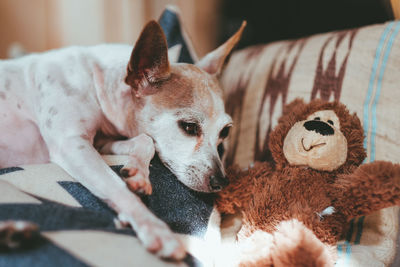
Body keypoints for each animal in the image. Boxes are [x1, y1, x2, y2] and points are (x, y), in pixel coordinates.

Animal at [0, 21, 245, 260]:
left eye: (225, 132)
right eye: (189, 127)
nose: (221, 182)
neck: (95, 81)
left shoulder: (101, 142)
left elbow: (146, 141)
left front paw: (138, 173)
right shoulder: (72, 144)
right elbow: (117, 187)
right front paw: (153, 228)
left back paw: (12, 233)